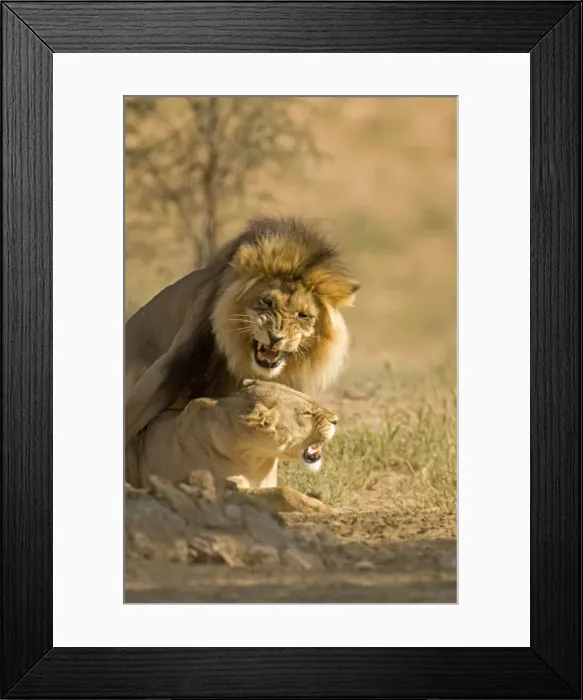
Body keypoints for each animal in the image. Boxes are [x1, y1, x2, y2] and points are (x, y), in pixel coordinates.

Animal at [126, 217, 358, 488]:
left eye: (303, 315)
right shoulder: (176, 364)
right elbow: (133, 412)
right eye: (267, 302)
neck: (243, 364)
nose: (276, 337)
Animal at [129, 379, 339, 513]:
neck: (257, 459)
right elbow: (281, 492)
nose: (336, 420)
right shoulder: (217, 492)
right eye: (306, 413)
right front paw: (320, 508)